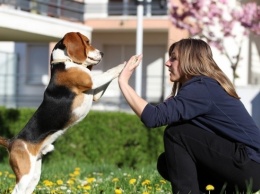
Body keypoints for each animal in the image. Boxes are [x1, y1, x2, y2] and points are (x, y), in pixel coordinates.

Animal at [0, 31, 125, 194]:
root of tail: (12, 141)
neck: (65, 62)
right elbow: (110, 71)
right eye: (87, 41)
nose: (102, 53)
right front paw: (128, 62)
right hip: (25, 174)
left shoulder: (95, 93)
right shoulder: (91, 81)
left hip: (34, 176)